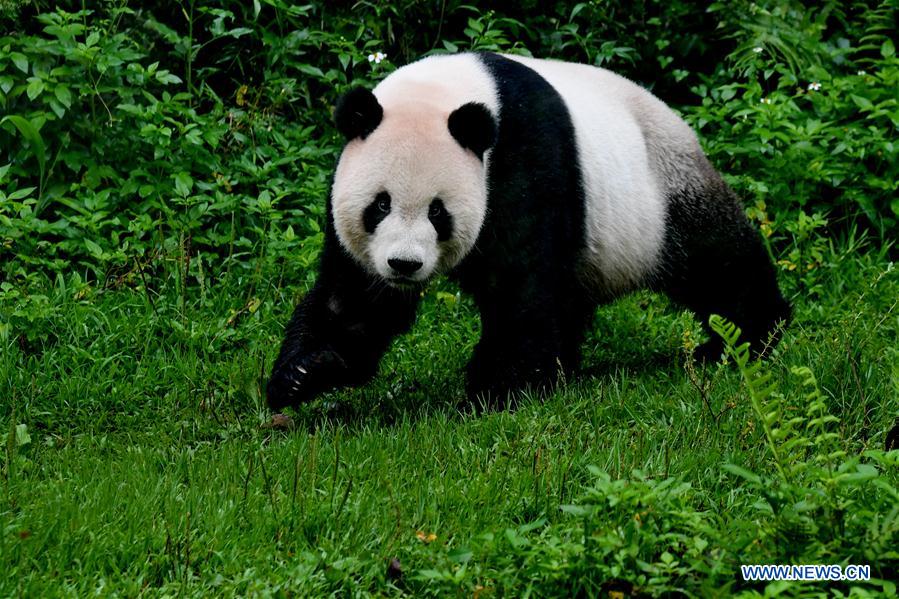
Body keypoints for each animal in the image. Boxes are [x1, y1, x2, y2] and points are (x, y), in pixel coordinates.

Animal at [266, 52, 791, 410]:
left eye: (438, 212)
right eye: (380, 204)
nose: (403, 265)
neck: (447, 92)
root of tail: (682, 126)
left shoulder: (524, 158)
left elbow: (521, 285)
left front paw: (496, 391)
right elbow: (355, 299)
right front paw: (301, 373)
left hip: (663, 195)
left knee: (717, 262)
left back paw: (744, 339)